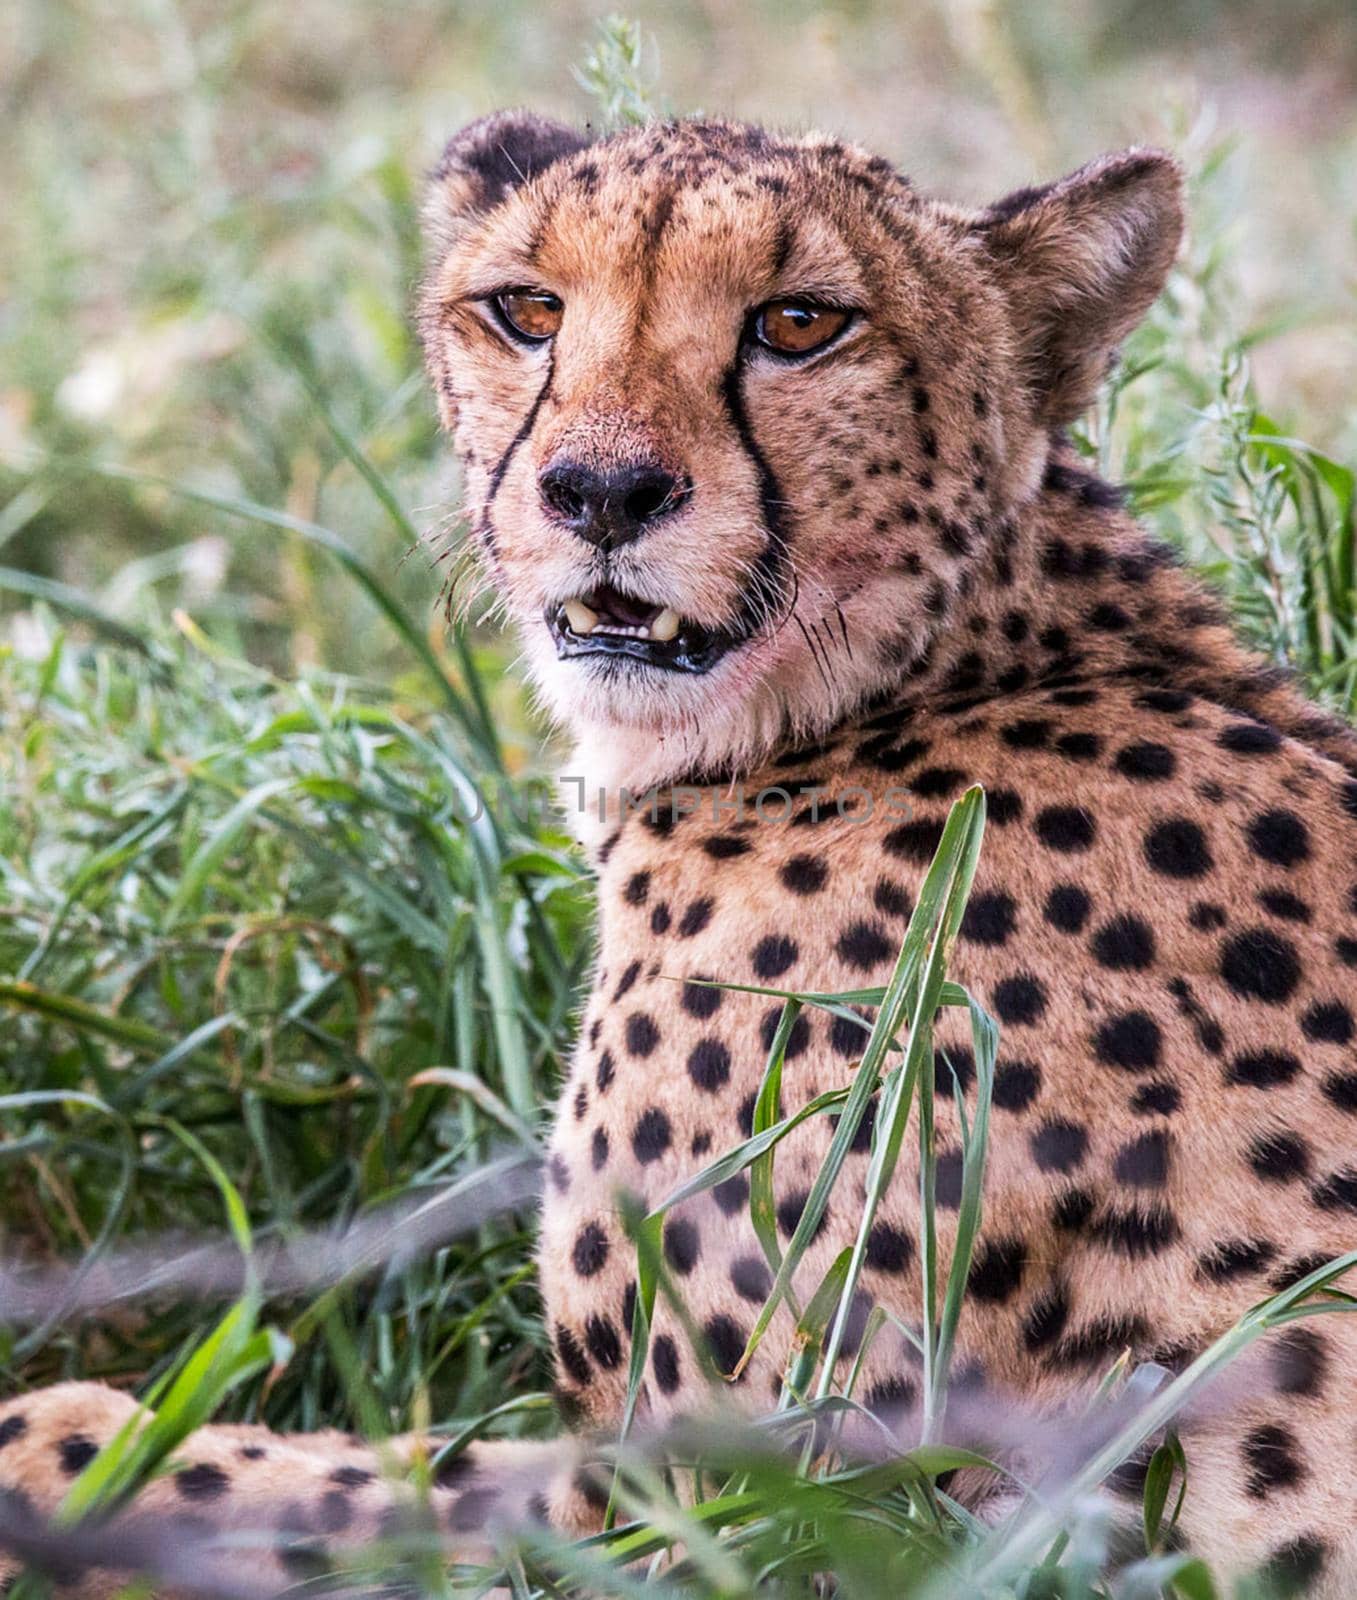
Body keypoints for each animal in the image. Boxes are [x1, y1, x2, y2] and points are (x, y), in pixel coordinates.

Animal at [2, 116, 1357, 1600]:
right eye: (527, 310)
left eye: (800, 323)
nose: (601, 491)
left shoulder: (754, 1506)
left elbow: (367, 1485)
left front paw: (65, 1440)